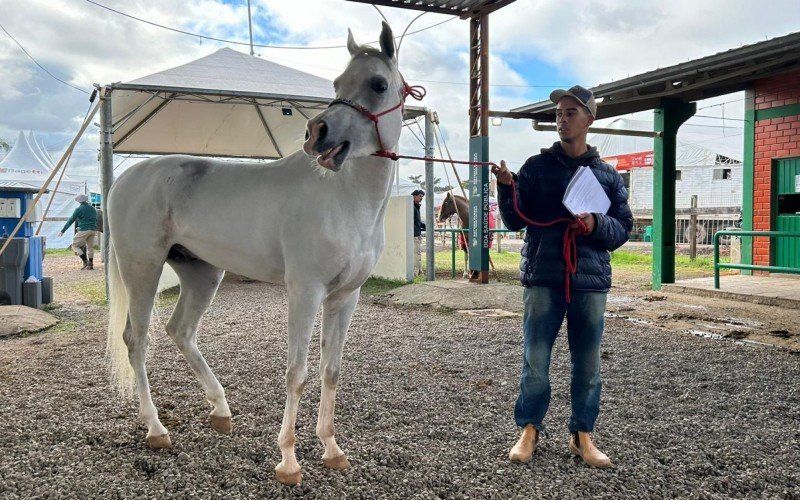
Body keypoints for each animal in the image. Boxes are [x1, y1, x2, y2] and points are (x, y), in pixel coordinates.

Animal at [108, 22, 410, 484]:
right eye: (337, 84)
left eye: (378, 84)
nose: (316, 134)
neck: (345, 197)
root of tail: (124, 181)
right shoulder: (305, 291)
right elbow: (297, 373)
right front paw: (288, 460)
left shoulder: (345, 297)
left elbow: (331, 370)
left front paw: (332, 449)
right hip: (142, 270)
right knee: (137, 340)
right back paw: (156, 429)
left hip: (202, 274)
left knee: (181, 331)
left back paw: (220, 410)